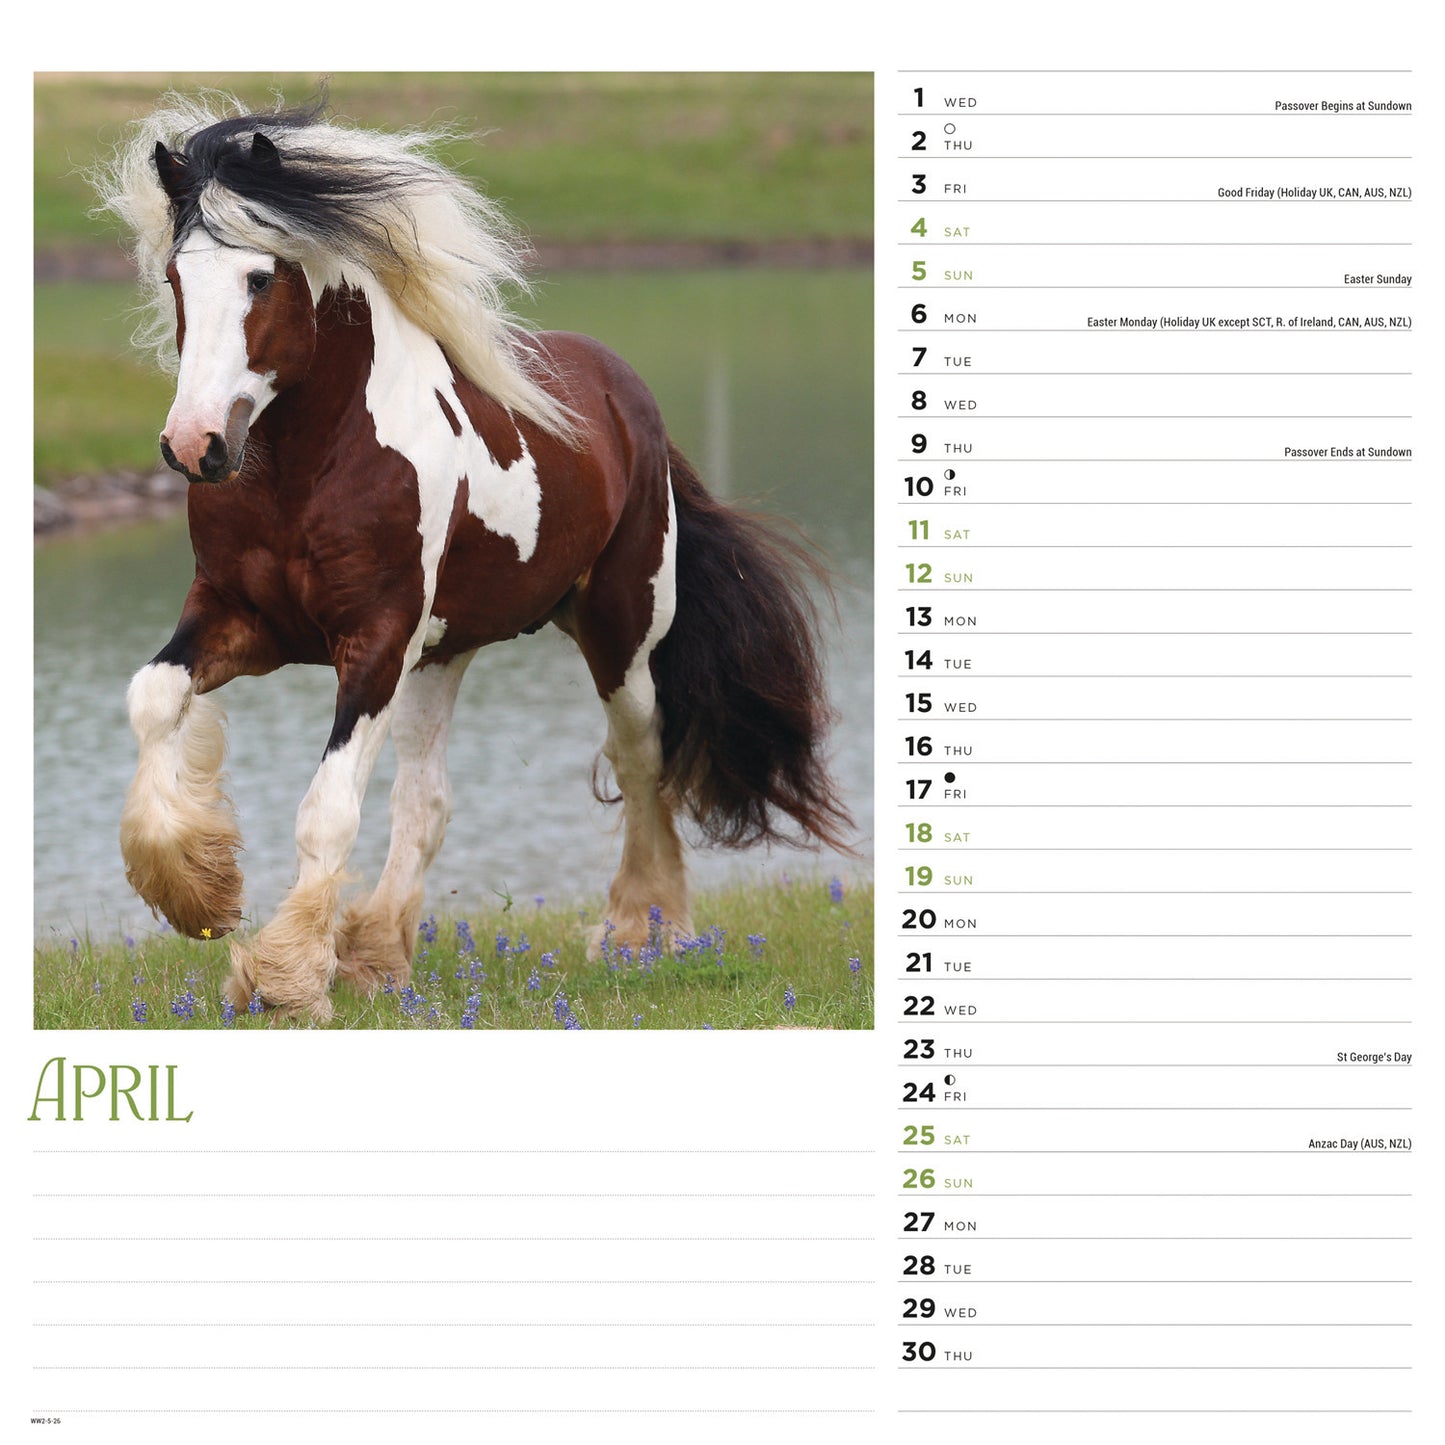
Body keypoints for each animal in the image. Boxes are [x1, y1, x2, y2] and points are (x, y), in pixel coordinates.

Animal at [94, 98, 851, 1020]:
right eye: (176, 278)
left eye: (261, 278)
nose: (194, 445)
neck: (309, 467)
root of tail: (628, 397)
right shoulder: (241, 618)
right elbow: (153, 697)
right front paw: (195, 890)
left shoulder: (373, 641)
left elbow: (328, 807)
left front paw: (285, 978)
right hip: (442, 654)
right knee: (429, 801)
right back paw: (381, 955)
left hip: (621, 635)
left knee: (641, 765)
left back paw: (642, 931)